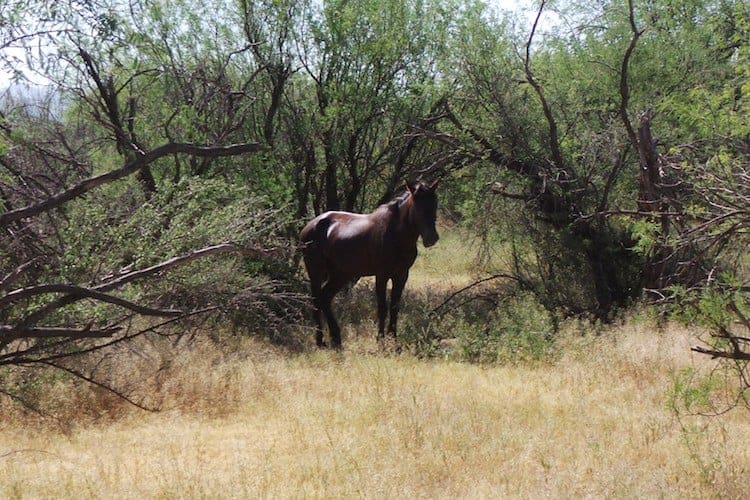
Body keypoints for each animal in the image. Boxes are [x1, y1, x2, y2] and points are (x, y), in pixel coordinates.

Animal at [300, 179, 440, 348]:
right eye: (417, 207)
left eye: (435, 204)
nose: (431, 238)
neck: (396, 235)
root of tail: (309, 226)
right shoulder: (382, 275)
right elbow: (382, 308)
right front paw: (380, 340)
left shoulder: (401, 275)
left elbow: (395, 308)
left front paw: (393, 340)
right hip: (316, 271)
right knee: (316, 301)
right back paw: (320, 340)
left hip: (340, 275)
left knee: (325, 298)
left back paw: (336, 337)